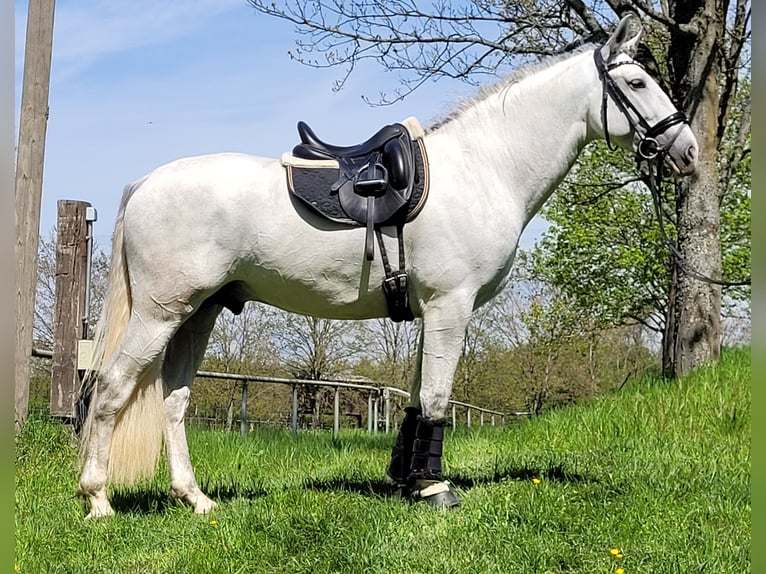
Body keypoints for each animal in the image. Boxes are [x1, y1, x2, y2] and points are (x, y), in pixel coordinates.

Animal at [79, 15, 704, 520]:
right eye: (637, 83)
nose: (689, 151)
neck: (485, 167)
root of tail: (145, 183)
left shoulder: (433, 312)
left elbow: (418, 400)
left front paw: (407, 481)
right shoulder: (451, 306)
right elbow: (437, 400)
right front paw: (433, 489)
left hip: (199, 314)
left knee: (173, 401)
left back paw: (196, 499)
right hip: (162, 313)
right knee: (111, 387)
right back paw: (98, 500)